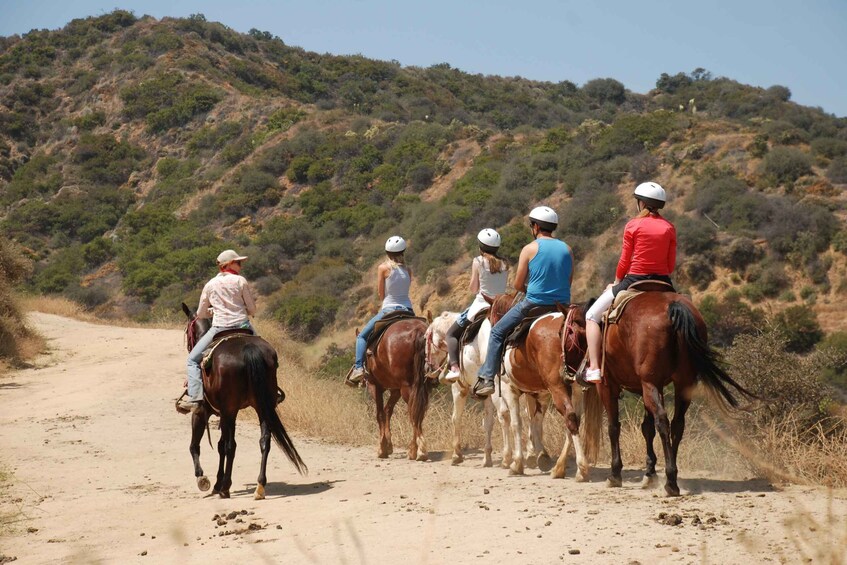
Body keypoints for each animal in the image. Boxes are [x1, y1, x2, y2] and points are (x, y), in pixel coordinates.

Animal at [182, 304, 308, 498]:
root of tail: (249, 349)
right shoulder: (224, 414)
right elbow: (219, 445)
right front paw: (216, 482)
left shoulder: (203, 411)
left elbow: (196, 445)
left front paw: (204, 479)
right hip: (262, 406)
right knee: (264, 441)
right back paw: (260, 486)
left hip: (231, 410)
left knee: (231, 446)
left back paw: (226, 487)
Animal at [362, 316, 434, 460]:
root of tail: (418, 331)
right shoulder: (395, 390)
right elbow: (387, 411)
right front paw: (388, 445)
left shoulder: (374, 386)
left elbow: (380, 414)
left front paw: (382, 448)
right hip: (420, 387)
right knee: (418, 412)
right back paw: (418, 449)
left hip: (406, 387)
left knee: (413, 412)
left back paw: (416, 450)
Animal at [424, 312, 548, 468]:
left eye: (425, 338)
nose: (427, 368)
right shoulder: (487, 394)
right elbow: (488, 422)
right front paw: (487, 457)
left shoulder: (459, 389)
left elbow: (456, 418)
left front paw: (457, 455)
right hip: (529, 390)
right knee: (531, 416)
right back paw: (534, 454)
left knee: (506, 416)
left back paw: (510, 457)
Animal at [486, 294, 608, 478]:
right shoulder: (539, 393)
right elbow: (535, 419)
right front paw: (540, 456)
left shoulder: (509, 390)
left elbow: (517, 423)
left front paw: (518, 463)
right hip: (575, 388)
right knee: (574, 418)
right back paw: (560, 467)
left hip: (557, 387)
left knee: (570, 417)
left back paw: (581, 467)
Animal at [600, 288, 760, 496]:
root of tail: (673, 308)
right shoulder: (650, 388)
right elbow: (647, 428)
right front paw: (649, 473)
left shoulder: (608, 385)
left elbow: (614, 427)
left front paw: (615, 474)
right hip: (682, 385)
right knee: (677, 424)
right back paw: (672, 476)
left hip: (651, 384)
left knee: (663, 421)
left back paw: (670, 482)